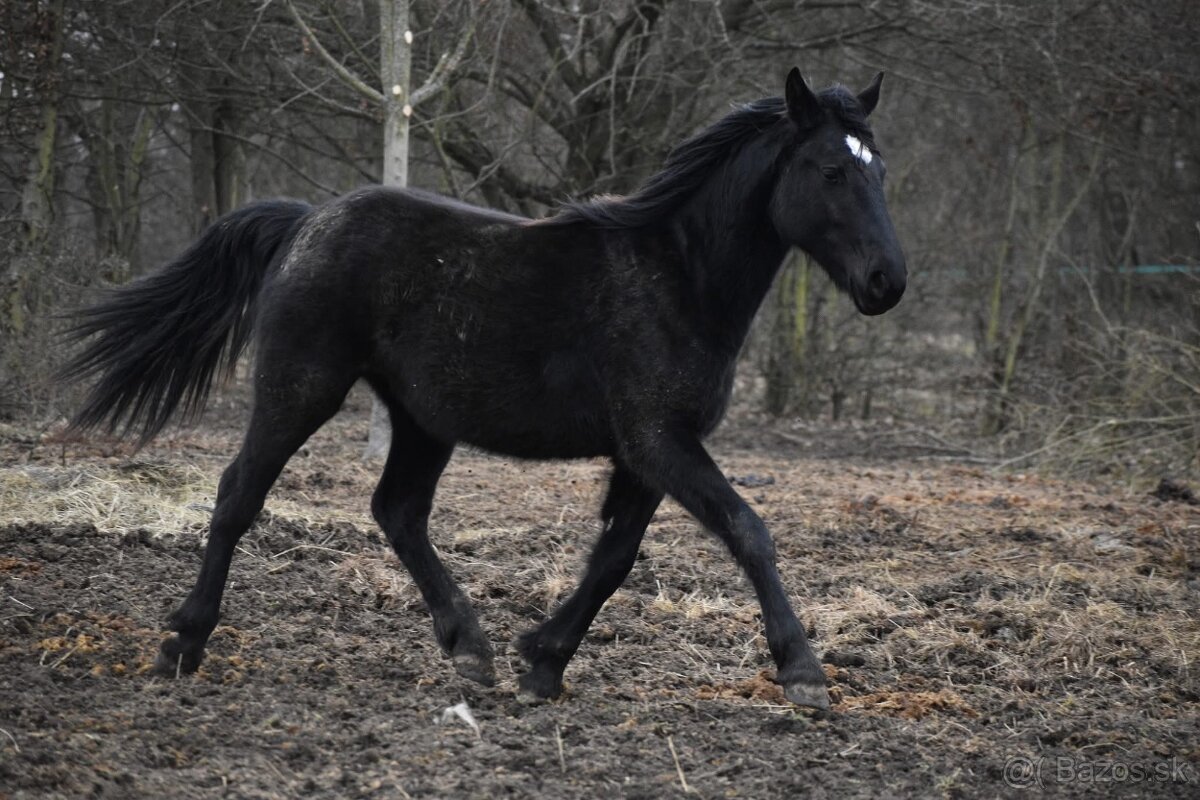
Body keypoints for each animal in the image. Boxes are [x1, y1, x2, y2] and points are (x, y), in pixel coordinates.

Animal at [58, 67, 902, 705]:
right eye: (831, 170)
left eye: (880, 169)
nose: (887, 282)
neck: (677, 277)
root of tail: (305, 223)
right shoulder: (658, 440)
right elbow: (746, 529)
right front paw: (804, 673)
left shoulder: (648, 454)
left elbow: (613, 558)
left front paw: (542, 662)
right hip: (302, 386)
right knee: (240, 492)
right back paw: (183, 643)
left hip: (421, 418)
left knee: (397, 511)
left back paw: (471, 647)